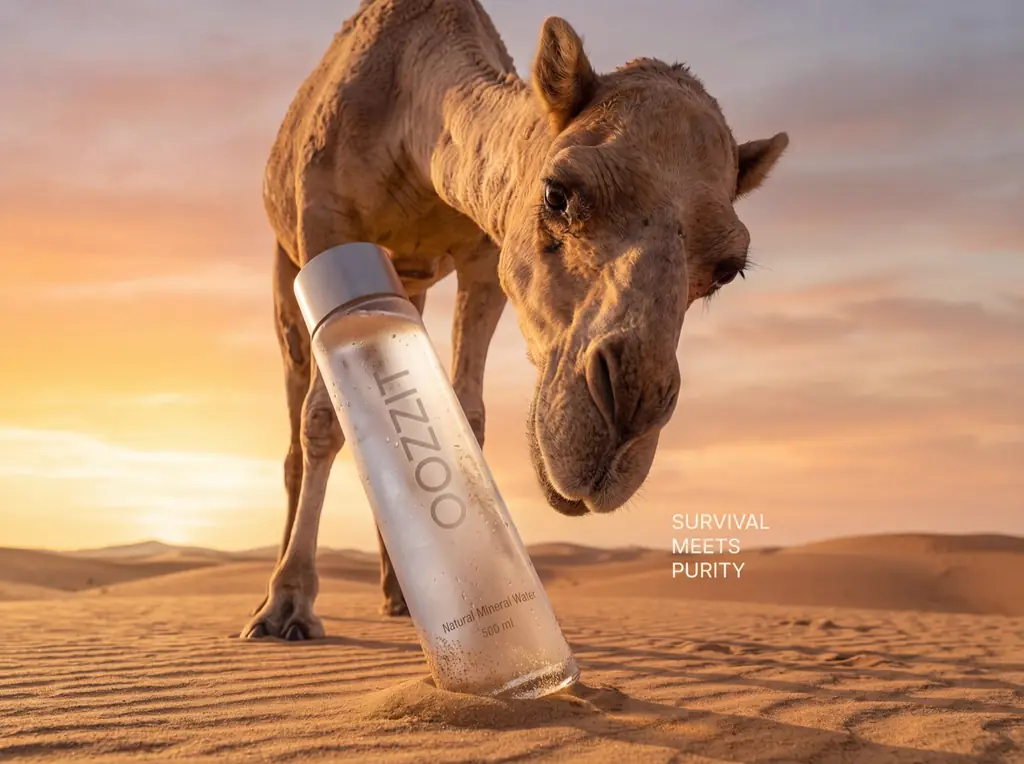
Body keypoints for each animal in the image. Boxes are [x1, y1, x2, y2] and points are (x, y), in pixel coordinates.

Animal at [243, 0, 789, 640]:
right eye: (557, 192)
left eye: (729, 268)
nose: (627, 415)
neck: (411, 116)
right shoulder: (325, 224)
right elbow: (323, 420)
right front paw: (288, 604)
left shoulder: (485, 257)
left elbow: (466, 413)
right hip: (287, 267)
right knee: (295, 424)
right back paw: (271, 593)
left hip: (405, 284)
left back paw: (400, 594)